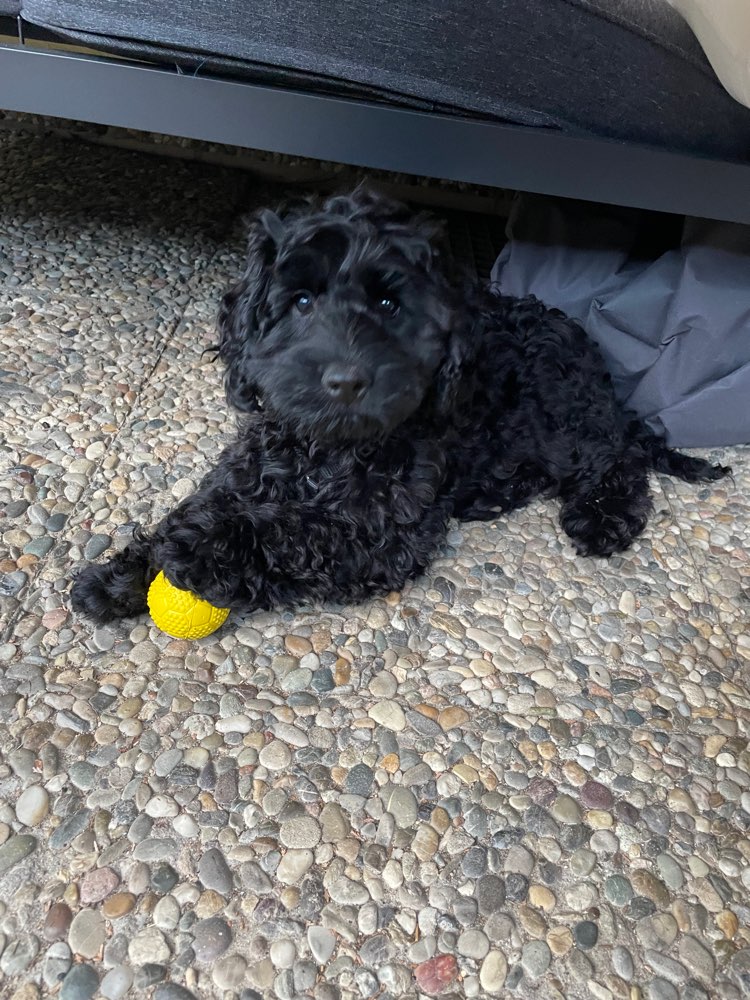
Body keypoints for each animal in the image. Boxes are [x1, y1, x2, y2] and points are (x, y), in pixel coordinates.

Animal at [70, 190, 728, 620]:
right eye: (301, 301)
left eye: (390, 305)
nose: (345, 379)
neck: (328, 448)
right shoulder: (249, 464)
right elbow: (205, 501)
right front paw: (120, 575)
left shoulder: (386, 528)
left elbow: (298, 532)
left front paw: (208, 548)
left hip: (566, 421)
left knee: (617, 459)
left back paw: (602, 516)